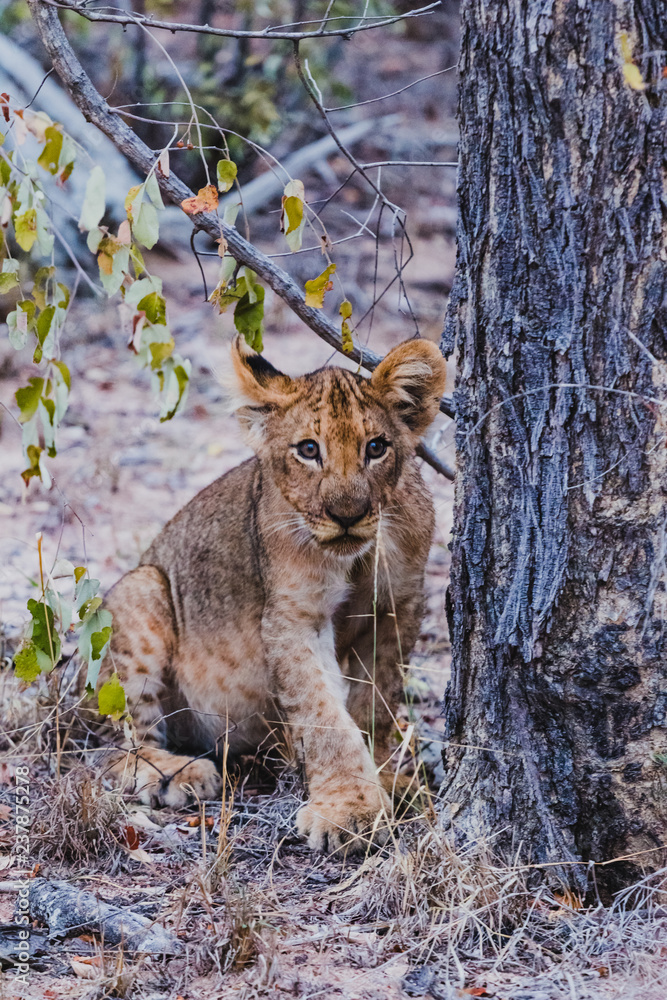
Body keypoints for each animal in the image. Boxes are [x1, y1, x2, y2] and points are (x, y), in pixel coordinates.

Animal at [98, 335, 447, 852]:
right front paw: (350, 811)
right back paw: (177, 775)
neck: (355, 556)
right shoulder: (293, 616)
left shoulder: (397, 608)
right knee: (123, 747)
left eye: (376, 447)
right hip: (141, 588)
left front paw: (385, 780)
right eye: (308, 449)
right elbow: (324, 714)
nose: (347, 515)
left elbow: (376, 706)